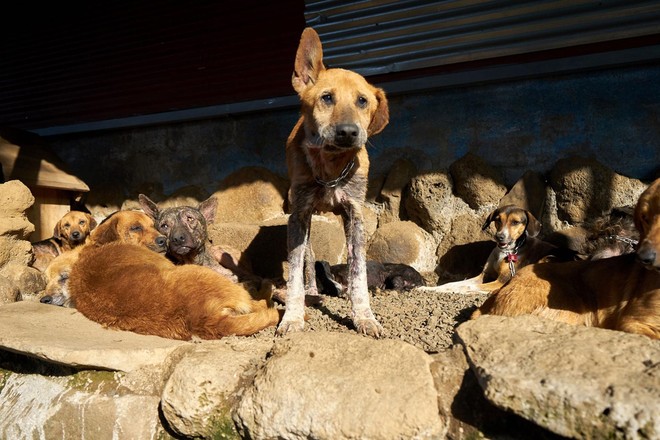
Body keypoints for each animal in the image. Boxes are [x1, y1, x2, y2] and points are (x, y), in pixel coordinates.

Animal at [276, 27, 390, 336]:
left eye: (362, 101)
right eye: (327, 98)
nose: (349, 132)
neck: (330, 168)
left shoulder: (355, 214)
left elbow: (358, 269)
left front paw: (364, 316)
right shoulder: (299, 215)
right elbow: (294, 271)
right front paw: (292, 317)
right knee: (308, 258)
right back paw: (312, 291)